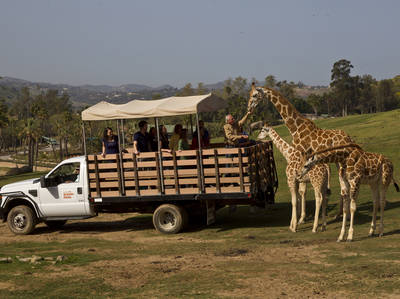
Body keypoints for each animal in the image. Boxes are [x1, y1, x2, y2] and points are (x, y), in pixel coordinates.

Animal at [250, 83, 360, 221]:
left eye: (254, 95)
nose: (249, 107)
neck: (295, 127)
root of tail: (349, 138)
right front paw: (300, 217)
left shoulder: (302, 153)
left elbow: (302, 189)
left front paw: (300, 218)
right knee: (344, 185)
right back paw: (340, 214)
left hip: (341, 161)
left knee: (345, 186)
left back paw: (343, 215)